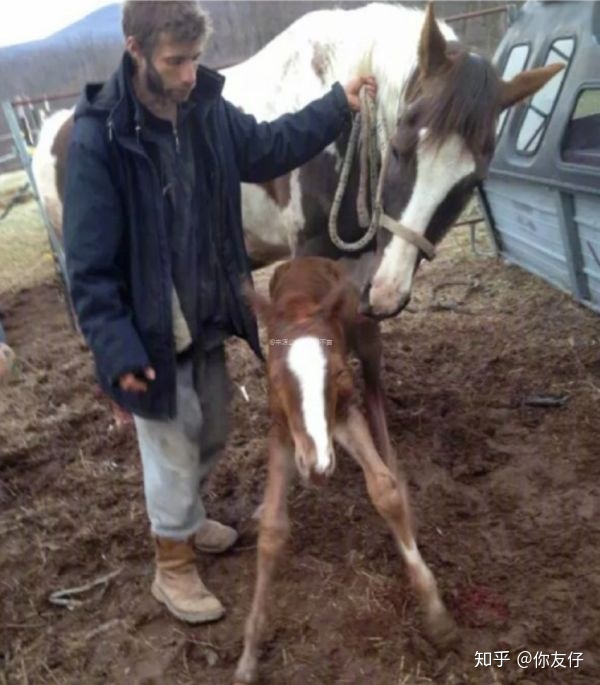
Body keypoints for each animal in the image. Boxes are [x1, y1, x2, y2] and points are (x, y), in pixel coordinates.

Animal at [32, 3, 560, 318]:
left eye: (471, 181)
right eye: (400, 146)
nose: (389, 294)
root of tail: (54, 128)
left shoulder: (363, 261)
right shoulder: (312, 253)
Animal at [234, 258, 454, 684]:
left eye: (336, 373)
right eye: (274, 378)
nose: (319, 467)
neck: (300, 303)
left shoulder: (345, 410)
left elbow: (384, 490)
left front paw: (436, 615)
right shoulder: (282, 430)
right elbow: (272, 528)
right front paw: (249, 655)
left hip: (367, 337)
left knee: (375, 390)